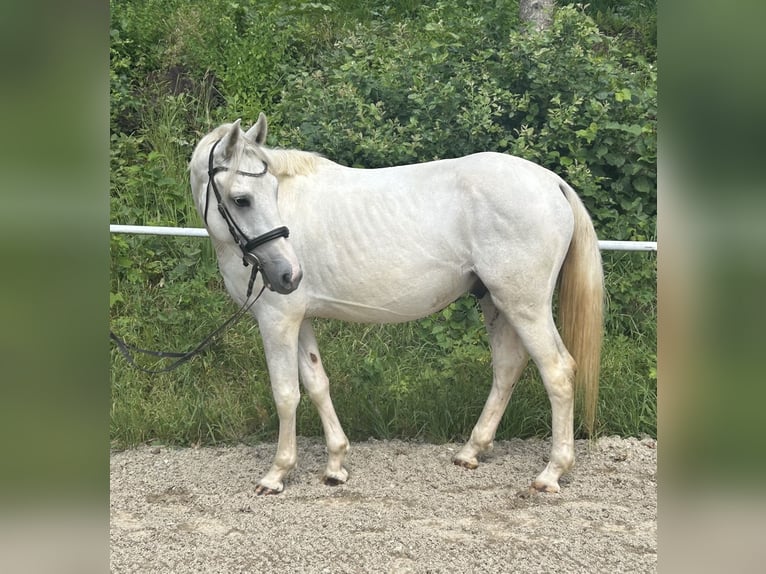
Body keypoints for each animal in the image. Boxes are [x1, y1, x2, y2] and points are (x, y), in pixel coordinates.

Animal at [189, 116, 604, 496]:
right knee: (507, 367)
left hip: (525, 305)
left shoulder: (277, 319)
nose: (288, 274)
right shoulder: (299, 319)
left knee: (557, 372)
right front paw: (335, 465)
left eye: (268, 190)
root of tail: (552, 182)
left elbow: (286, 393)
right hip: (496, 303)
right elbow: (317, 384)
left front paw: (277, 473)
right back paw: (471, 451)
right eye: (242, 199)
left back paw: (552, 472)